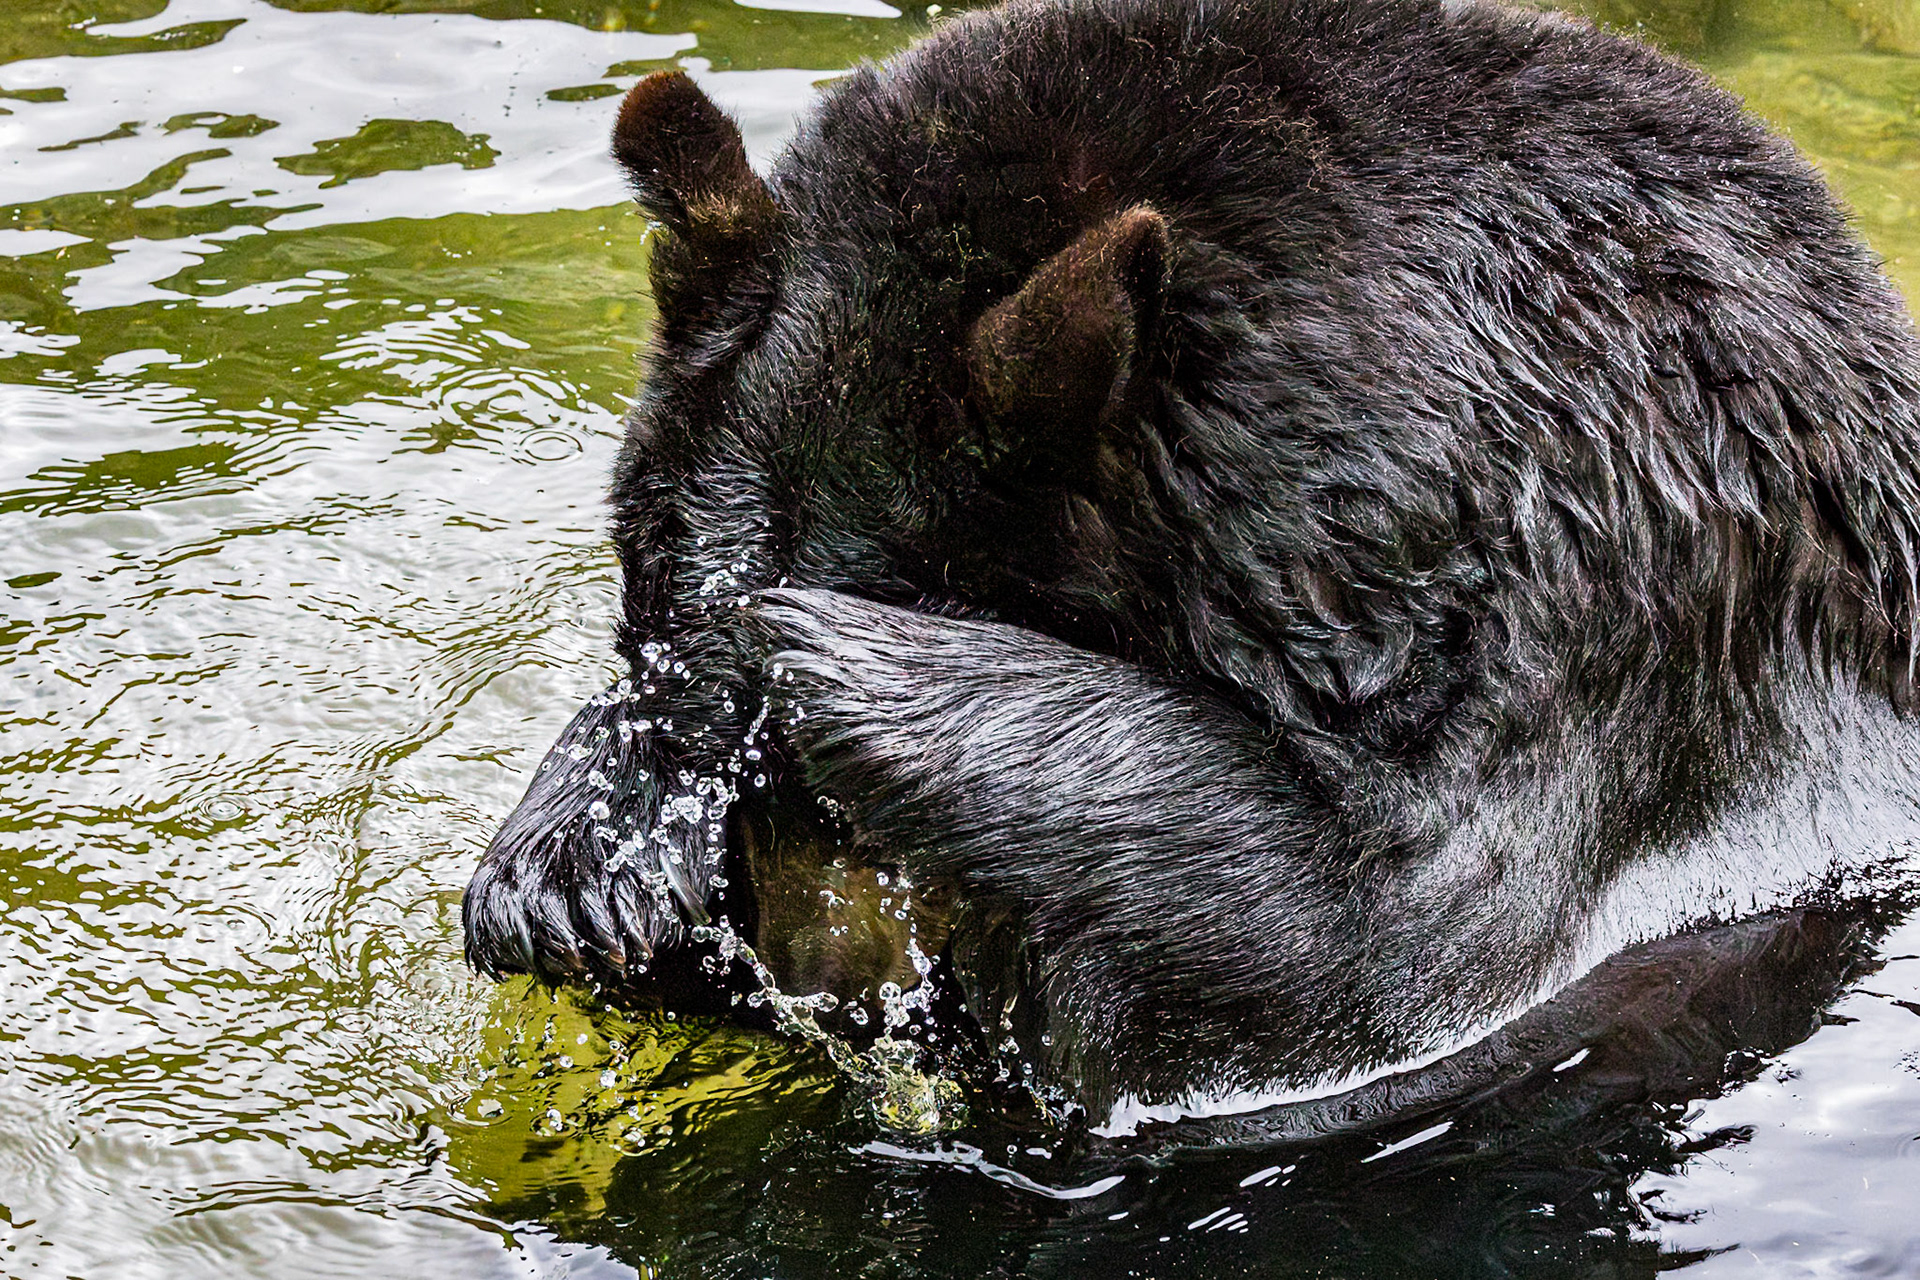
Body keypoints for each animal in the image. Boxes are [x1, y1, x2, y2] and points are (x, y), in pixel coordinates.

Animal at [463, 0, 1920, 1119]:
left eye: (822, 808)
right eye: (640, 611)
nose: (815, 956)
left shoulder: (1599, 634)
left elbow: (1380, 943)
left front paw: (851, 664)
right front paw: (570, 861)